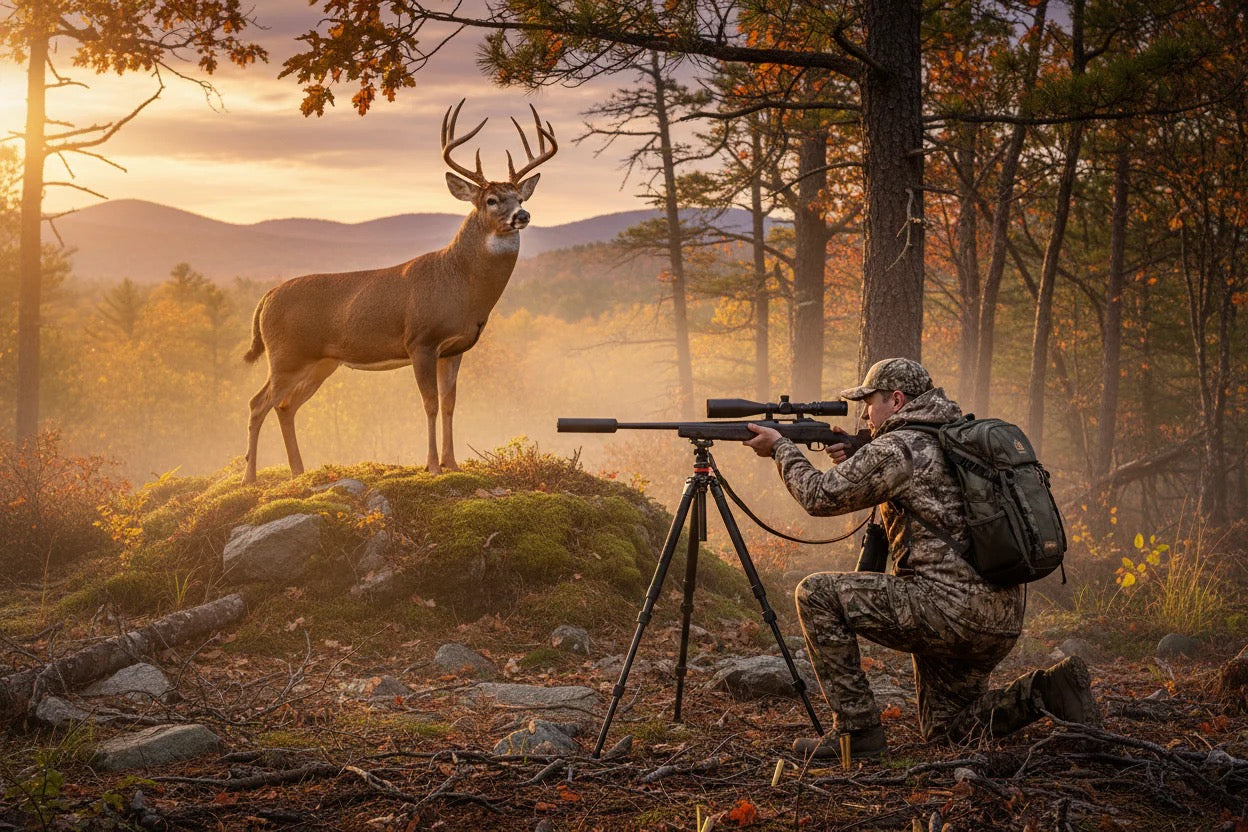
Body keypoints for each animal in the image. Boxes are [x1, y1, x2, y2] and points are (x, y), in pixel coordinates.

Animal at [241, 99, 557, 485]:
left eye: (519, 195)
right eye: (492, 200)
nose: (522, 215)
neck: (460, 285)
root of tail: (266, 297)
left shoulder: (455, 349)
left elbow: (450, 404)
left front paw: (452, 464)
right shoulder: (420, 340)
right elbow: (430, 404)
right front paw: (432, 465)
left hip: (320, 362)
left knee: (285, 406)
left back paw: (300, 472)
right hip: (286, 354)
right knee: (258, 403)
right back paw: (250, 477)